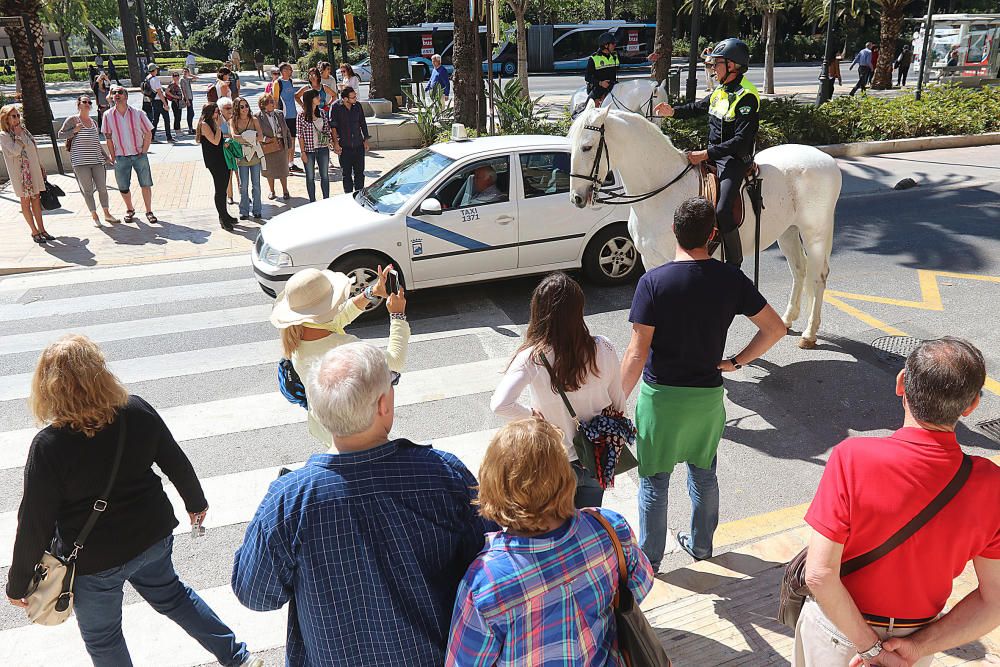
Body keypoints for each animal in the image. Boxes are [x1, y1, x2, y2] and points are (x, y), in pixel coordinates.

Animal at [568, 105, 840, 350]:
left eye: (587, 147)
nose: (577, 198)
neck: (662, 191)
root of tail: (828, 160)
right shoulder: (649, 260)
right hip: (788, 231)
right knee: (799, 270)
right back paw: (786, 320)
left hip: (815, 233)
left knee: (818, 276)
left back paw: (809, 333)